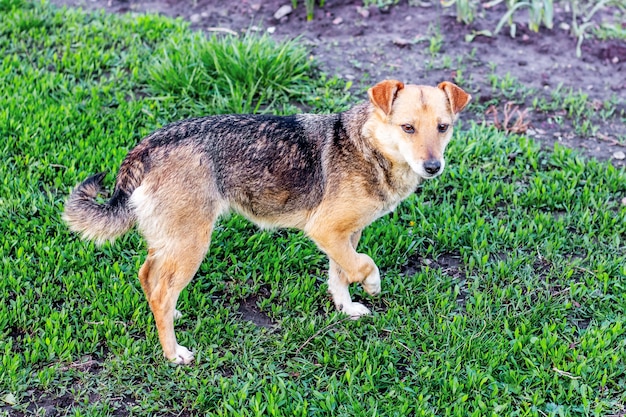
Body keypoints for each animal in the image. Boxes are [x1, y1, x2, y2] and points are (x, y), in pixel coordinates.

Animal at [64, 79, 468, 362]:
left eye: (444, 127)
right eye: (407, 128)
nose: (433, 167)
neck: (367, 145)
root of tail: (147, 146)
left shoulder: (345, 235)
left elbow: (341, 273)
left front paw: (347, 307)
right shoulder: (326, 230)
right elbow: (363, 266)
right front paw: (371, 286)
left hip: (172, 238)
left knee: (150, 278)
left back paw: (171, 312)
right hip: (192, 241)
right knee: (161, 289)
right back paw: (172, 353)